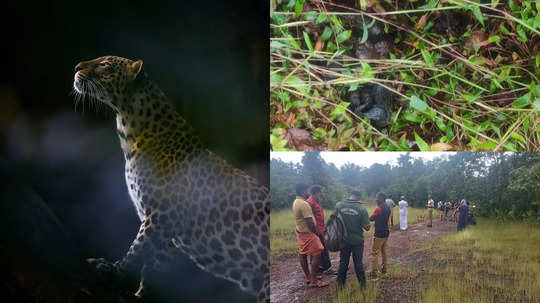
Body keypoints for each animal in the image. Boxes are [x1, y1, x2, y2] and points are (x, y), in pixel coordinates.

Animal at [73, 55, 270, 302]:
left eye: (104, 65)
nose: (76, 67)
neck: (129, 133)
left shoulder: (161, 214)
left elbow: (138, 250)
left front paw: (113, 271)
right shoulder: (162, 225)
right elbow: (153, 264)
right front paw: (142, 295)